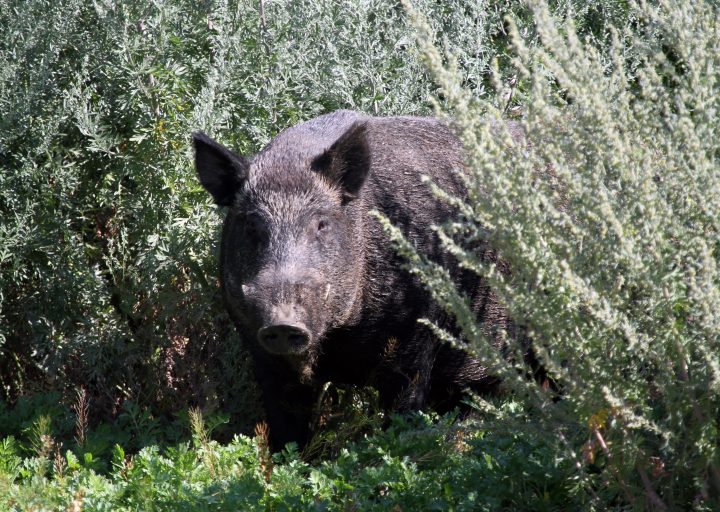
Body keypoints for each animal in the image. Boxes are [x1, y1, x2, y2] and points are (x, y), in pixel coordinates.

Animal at [193, 110, 509, 451]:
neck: (336, 344)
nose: (284, 322)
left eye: (321, 224)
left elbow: (404, 412)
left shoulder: (416, 335)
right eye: (252, 226)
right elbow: (287, 427)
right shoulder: (260, 349)